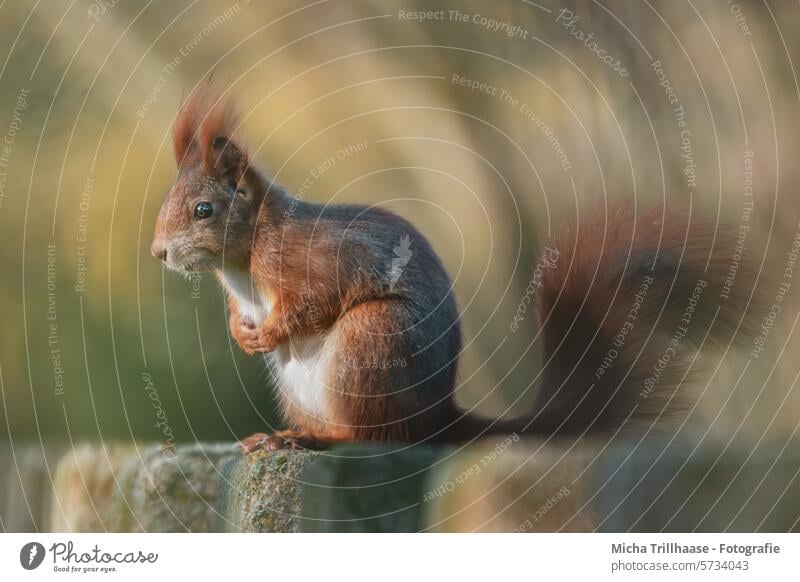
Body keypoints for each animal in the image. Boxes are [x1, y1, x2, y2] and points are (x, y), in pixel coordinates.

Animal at [148, 86, 764, 454]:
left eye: (203, 210)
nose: (158, 253)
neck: (242, 261)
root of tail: (440, 418)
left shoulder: (316, 258)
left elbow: (317, 299)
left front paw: (272, 328)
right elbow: (242, 314)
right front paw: (241, 330)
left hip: (370, 341)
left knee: (373, 436)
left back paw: (321, 440)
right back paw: (289, 434)